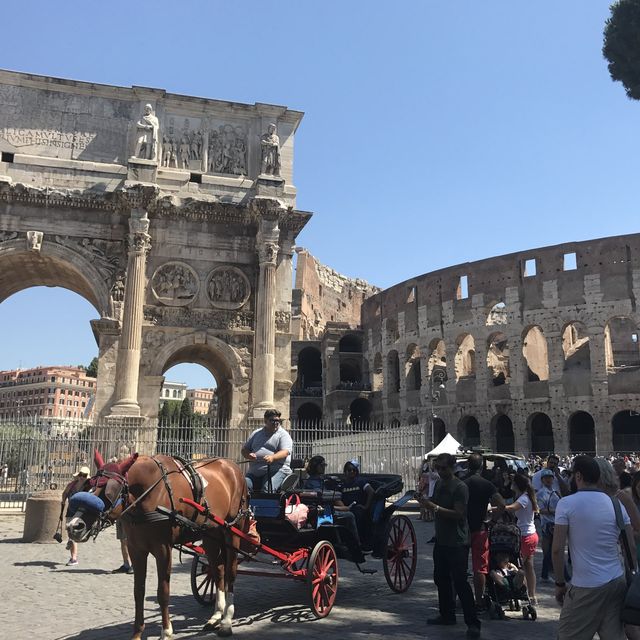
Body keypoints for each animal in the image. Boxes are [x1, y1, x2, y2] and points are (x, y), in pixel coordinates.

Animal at [65, 450, 248, 640]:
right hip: (211, 534)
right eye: (88, 485)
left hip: (233, 529)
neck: (150, 493)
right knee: (217, 570)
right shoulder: (136, 549)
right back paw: (216, 616)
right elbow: (138, 591)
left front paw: (166, 631)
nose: (74, 526)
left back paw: (226, 621)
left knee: (231, 572)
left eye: (109, 490)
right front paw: (137, 633)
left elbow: (163, 592)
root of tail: (232, 466)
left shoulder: (163, 549)